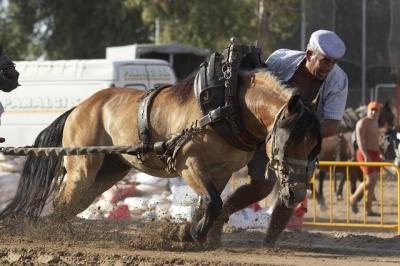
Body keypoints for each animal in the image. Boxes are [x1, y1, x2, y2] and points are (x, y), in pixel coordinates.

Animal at [0, 68, 320, 247]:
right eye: (289, 140)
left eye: (314, 145)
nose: (296, 193)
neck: (229, 106)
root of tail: (78, 108)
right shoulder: (188, 162)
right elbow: (213, 201)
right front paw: (191, 235)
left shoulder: (222, 171)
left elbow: (211, 203)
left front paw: (186, 232)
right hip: (82, 167)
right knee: (64, 201)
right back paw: (53, 234)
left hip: (110, 170)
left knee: (75, 204)